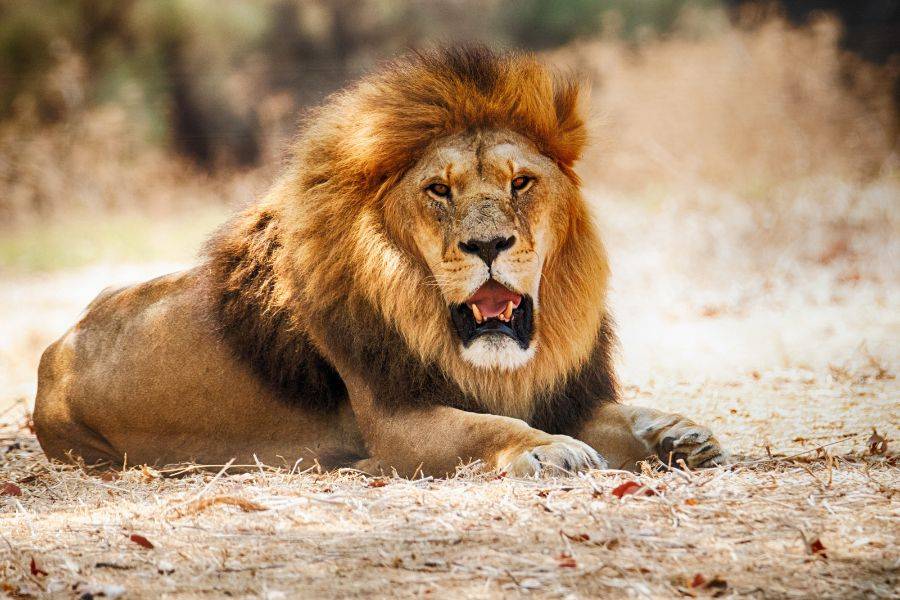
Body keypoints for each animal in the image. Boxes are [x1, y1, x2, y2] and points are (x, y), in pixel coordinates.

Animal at [33, 48, 727, 477]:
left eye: (521, 183)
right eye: (439, 190)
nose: (488, 246)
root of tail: (58, 349)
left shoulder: (560, 390)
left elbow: (625, 411)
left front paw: (679, 433)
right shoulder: (397, 422)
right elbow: (487, 428)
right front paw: (551, 450)